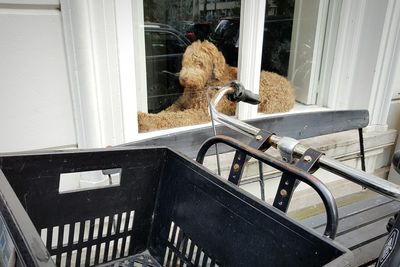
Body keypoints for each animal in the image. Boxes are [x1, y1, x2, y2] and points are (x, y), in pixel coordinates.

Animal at [139, 40, 296, 133]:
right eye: (185, 61)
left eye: (199, 64)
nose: (183, 79)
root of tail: (289, 84)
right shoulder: (181, 103)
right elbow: (167, 113)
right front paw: (148, 117)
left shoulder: (201, 112)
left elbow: (175, 118)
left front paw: (144, 121)